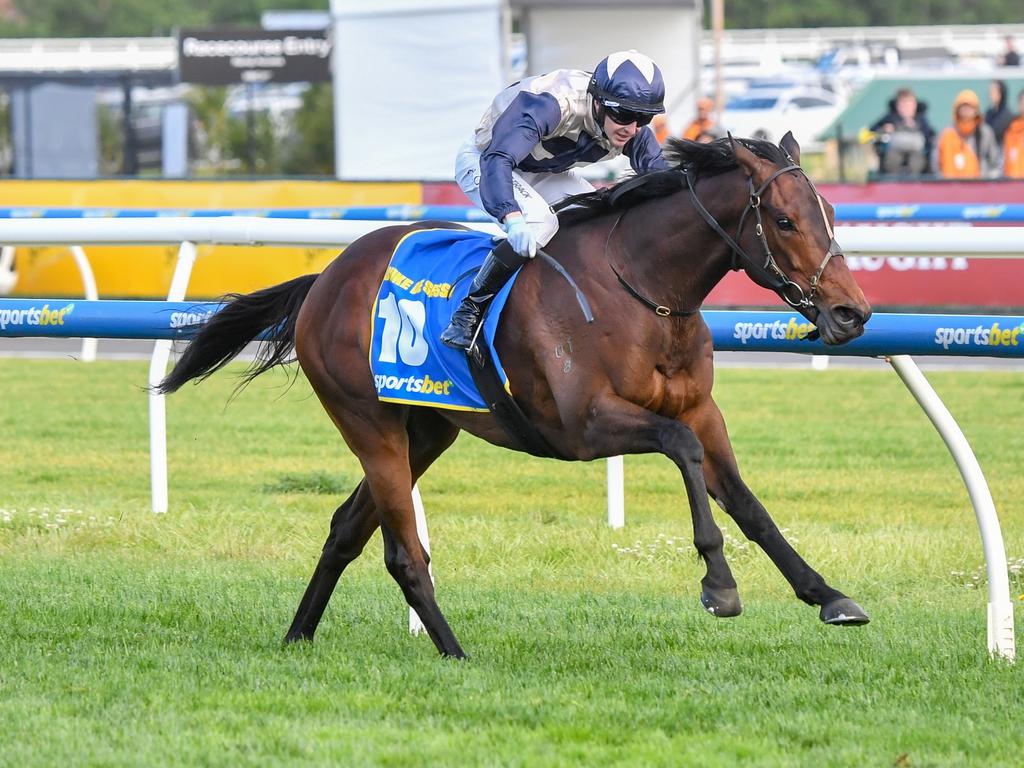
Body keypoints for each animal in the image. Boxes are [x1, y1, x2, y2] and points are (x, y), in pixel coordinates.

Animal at [157, 134, 872, 663]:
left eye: (832, 216)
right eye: (784, 220)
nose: (852, 313)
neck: (642, 289)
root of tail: (325, 276)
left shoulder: (702, 410)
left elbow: (748, 503)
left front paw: (828, 595)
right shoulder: (583, 427)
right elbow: (681, 448)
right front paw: (718, 584)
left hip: (427, 429)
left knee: (345, 529)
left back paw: (298, 635)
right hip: (369, 424)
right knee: (402, 551)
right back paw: (454, 652)